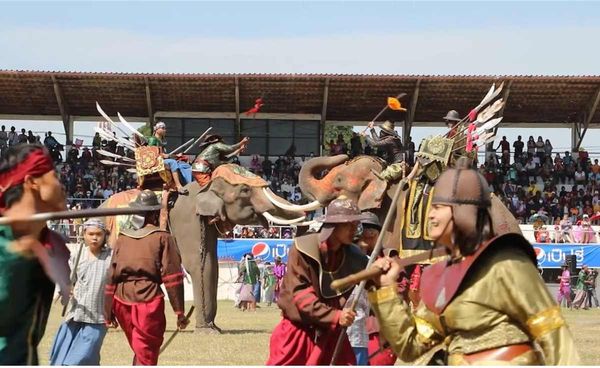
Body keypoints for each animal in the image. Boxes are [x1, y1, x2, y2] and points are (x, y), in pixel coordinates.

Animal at [102, 165, 308, 332]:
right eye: (245, 190)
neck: (205, 186)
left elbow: (212, 263)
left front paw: (215, 328)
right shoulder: (187, 219)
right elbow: (199, 264)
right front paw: (207, 330)